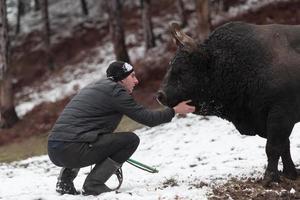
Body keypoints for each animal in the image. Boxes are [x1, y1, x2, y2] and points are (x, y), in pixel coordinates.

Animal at [157, 21, 300, 186]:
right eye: (170, 65)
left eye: (183, 69)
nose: (160, 95)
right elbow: (284, 146)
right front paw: (290, 173)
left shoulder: (281, 115)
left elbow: (273, 147)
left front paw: (269, 178)